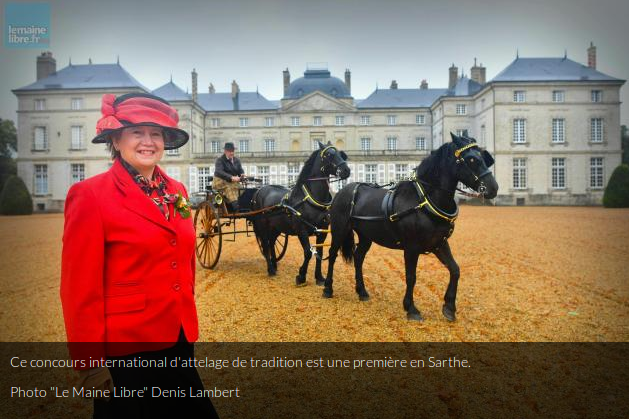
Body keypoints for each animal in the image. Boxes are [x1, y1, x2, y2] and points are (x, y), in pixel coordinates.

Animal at [249, 144, 348, 286]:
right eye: (328, 154)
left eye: (340, 153)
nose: (346, 170)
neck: (311, 199)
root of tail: (259, 190)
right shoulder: (302, 230)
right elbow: (308, 252)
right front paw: (301, 276)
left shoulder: (322, 231)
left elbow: (319, 252)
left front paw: (319, 277)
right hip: (262, 225)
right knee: (266, 245)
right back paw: (270, 269)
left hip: (276, 227)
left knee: (272, 242)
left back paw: (274, 265)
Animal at [324, 135, 496, 322]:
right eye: (471, 159)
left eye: (483, 157)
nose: (493, 188)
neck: (424, 200)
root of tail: (343, 191)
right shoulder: (411, 248)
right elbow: (411, 277)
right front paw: (411, 308)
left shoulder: (439, 244)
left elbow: (455, 270)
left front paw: (449, 307)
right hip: (339, 231)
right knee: (332, 255)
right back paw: (328, 288)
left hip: (366, 236)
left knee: (358, 257)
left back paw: (362, 291)